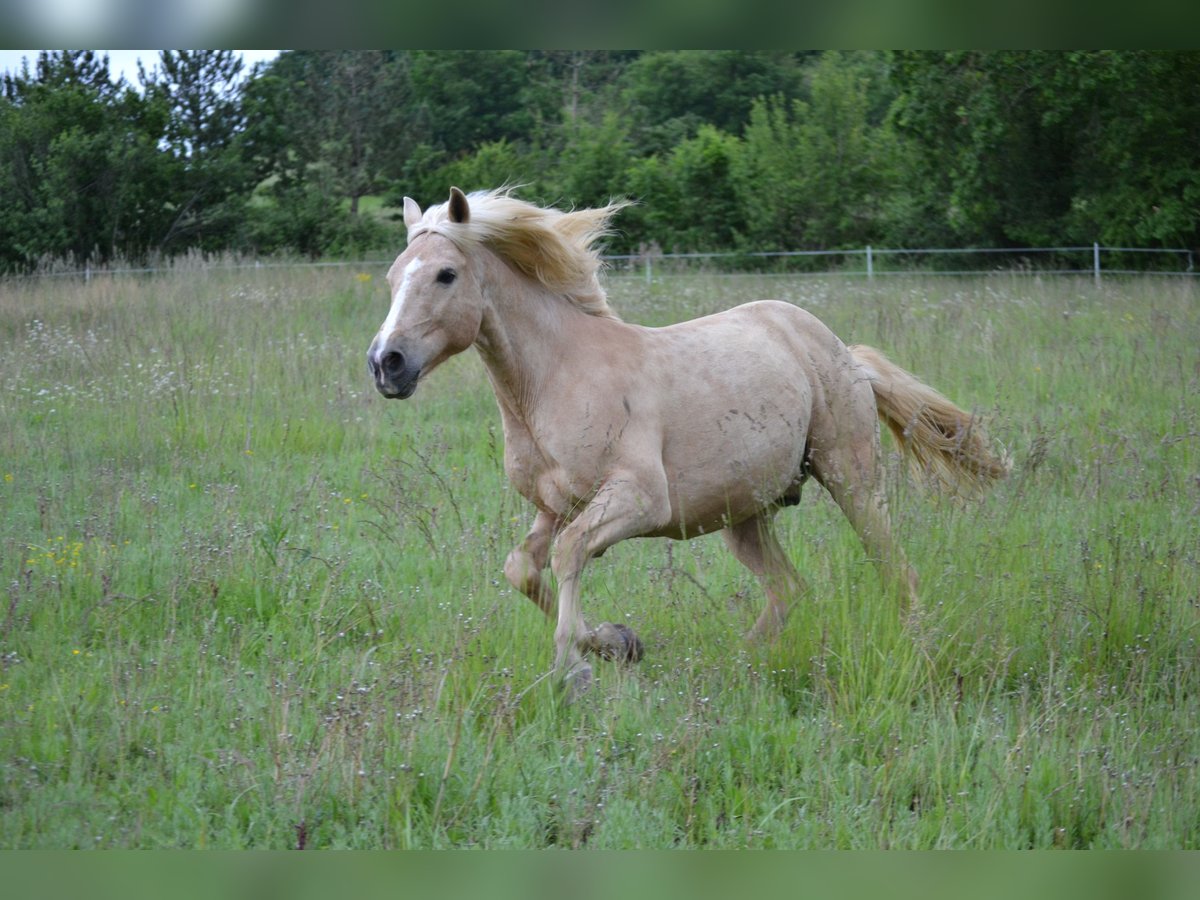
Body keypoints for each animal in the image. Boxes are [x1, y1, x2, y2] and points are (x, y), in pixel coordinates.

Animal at [367, 188, 1012, 696]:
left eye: (446, 274)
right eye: (394, 277)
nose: (385, 364)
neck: (555, 377)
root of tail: (844, 353)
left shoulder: (637, 499)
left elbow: (569, 553)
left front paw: (575, 667)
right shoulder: (555, 506)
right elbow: (522, 568)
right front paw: (617, 642)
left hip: (851, 481)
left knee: (896, 572)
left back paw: (921, 659)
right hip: (745, 516)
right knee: (789, 590)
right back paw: (740, 666)